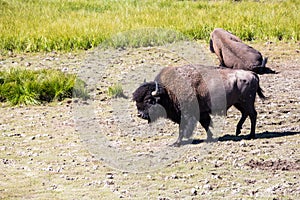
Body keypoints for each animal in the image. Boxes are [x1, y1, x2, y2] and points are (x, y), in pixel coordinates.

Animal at [132, 65, 264, 146]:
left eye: (149, 100)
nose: (140, 114)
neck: (168, 92)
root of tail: (252, 74)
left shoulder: (187, 115)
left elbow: (183, 128)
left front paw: (177, 143)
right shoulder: (202, 113)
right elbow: (205, 124)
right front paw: (210, 138)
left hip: (247, 102)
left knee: (253, 114)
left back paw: (251, 135)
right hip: (239, 103)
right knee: (246, 113)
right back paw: (238, 130)